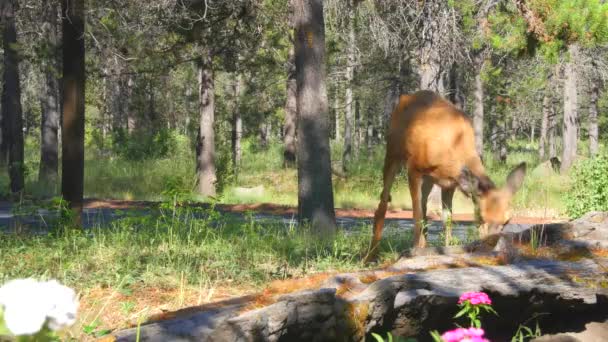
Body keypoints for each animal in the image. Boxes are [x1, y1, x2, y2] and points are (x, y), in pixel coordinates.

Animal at [366, 90, 528, 262]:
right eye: (481, 217)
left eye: (507, 220)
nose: (492, 243)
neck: (453, 148)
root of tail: (406, 97)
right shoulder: (414, 169)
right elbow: (416, 215)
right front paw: (413, 251)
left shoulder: (450, 184)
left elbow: (447, 219)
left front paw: (445, 249)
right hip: (393, 153)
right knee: (383, 203)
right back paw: (370, 256)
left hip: (429, 180)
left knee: (425, 208)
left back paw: (423, 246)